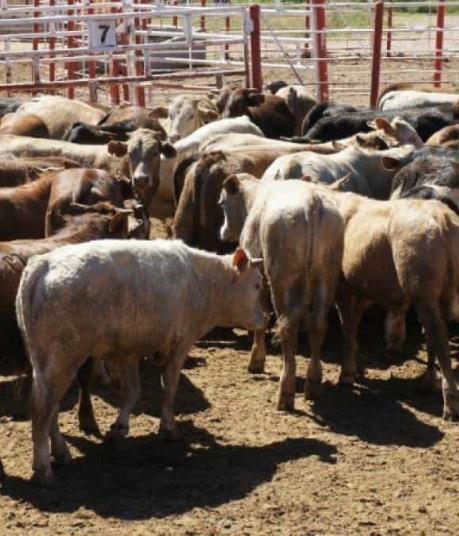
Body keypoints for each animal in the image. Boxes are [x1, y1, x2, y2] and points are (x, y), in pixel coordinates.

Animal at [17, 241, 266, 484]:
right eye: (257, 285)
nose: (266, 317)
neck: (203, 281)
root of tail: (42, 265)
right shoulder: (181, 342)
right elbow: (170, 383)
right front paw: (168, 427)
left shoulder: (130, 351)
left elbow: (133, 390)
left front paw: (119, 428)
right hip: (62, 360)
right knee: (42, 408)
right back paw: (44, 468)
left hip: (45, 362)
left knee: (51, 408)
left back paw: (61, 452)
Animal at [220, 174, 344, 408]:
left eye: (221, 203)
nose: (222, 233)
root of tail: (312, 202)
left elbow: (261, 318)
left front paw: (256, 360)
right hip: (326, 276)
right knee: (318, 325)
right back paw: (314, 383)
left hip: (282, 278)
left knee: (288, 328)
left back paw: (285, 391)